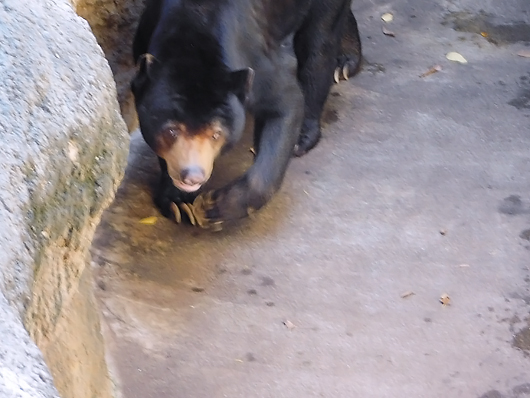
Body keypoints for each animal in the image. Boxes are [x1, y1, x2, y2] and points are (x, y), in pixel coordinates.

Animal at [130, 0, 360, 230]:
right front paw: (179, 203)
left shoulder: (255, 63)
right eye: (171, 131)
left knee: (319, 43)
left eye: (216, 134)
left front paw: (214, 208)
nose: (192, 177)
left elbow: (286, 103)